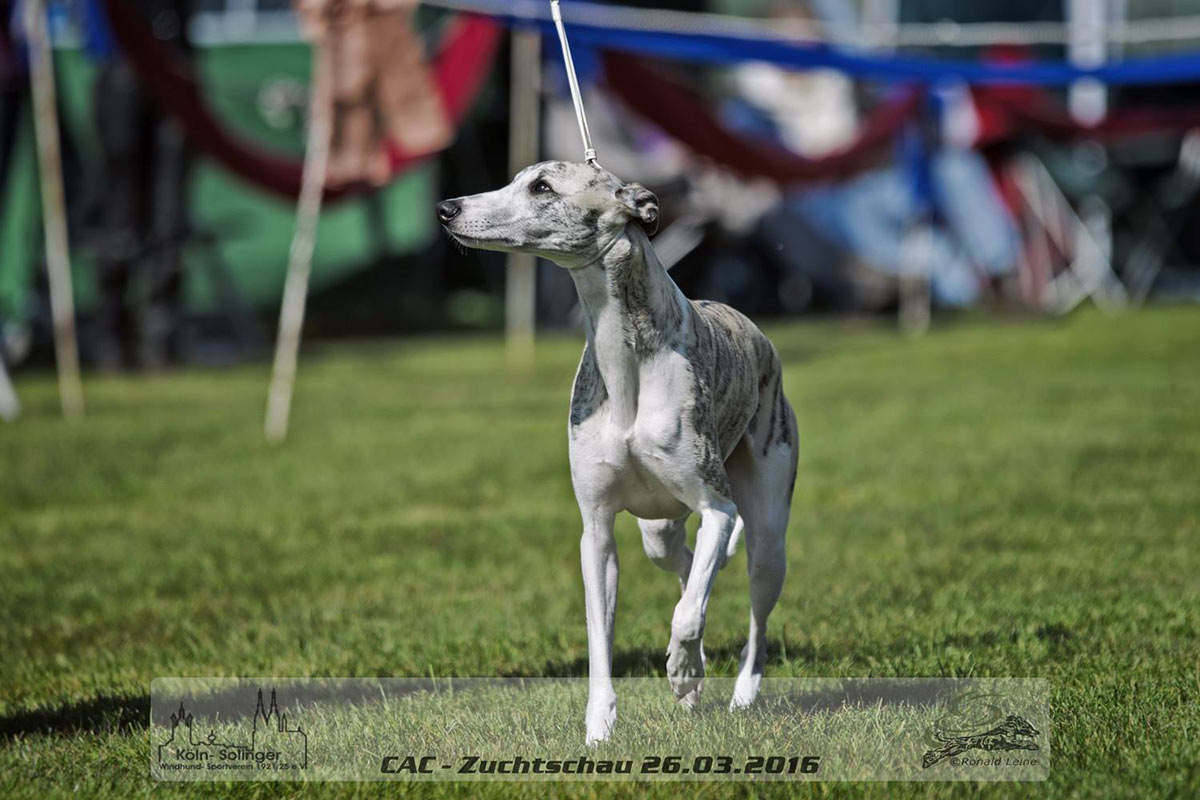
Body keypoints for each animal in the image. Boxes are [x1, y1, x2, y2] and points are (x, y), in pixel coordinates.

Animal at [439, 159, 796, 748]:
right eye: (517, 179)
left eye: (542, 187)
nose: (447, 209)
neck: (627, 361)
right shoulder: (597, 531)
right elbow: (602, 637)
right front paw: (600, 727)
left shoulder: (717, 507)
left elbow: (688, 613)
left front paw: (680, 669)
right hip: (659, 531)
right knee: (686, 567)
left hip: (766, 534)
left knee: (749, 613)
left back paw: (737, 691)